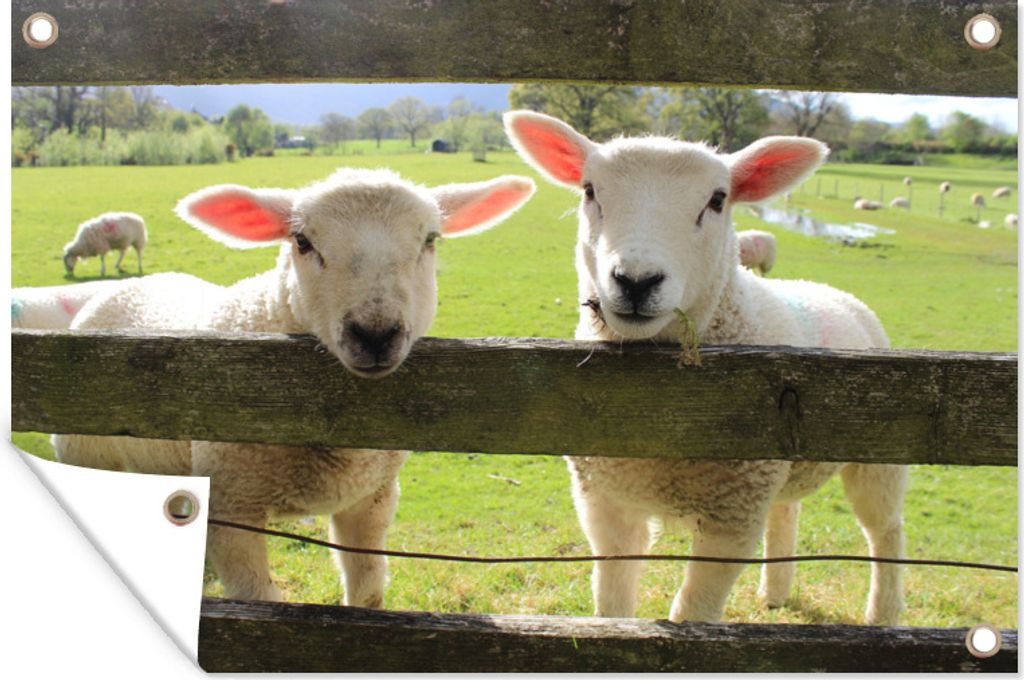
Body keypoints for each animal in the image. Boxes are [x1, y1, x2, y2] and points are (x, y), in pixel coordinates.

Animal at [52, 168, 536, 604]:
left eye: (430, 240)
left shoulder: (372, 498)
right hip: (85, 453)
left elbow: (369, 593)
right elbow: (261, 601)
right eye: (302, 242)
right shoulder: (233, 505)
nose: (375, 334)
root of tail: (127, 285)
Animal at [505, 110, 906, 626]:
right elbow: (612, 600)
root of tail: (833, 292)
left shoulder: (733, 518)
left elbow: (692, 611)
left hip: (879, 455)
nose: (636, 281)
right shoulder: (604, 502)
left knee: (885, 530)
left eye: (717, 200)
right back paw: (775, 593)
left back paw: (884, 615)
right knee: (787, 510)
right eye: (590, 190)